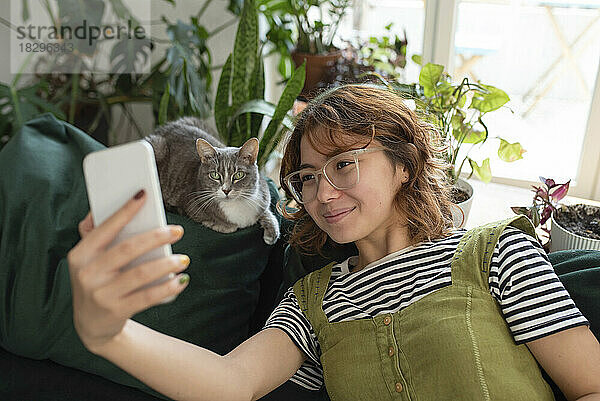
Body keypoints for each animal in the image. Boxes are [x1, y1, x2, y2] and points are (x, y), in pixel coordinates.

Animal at [144, 116, 280, 244]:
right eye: (215, 175)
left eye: (239, 175)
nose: (226, 190)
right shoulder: (191, 204)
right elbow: (229, 227)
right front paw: (218, 225)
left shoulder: (263, 196)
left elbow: (266, 211)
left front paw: (272, 233)